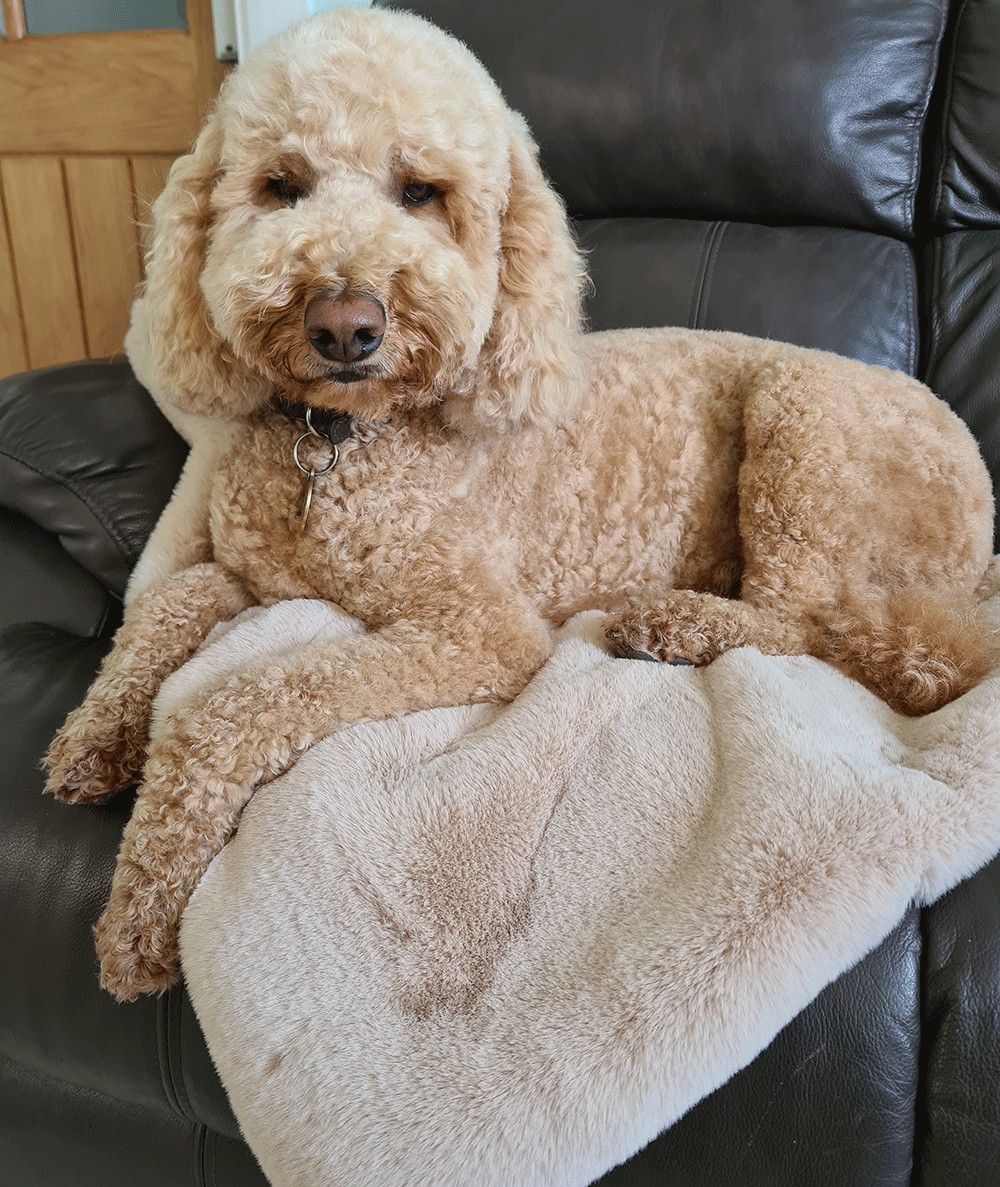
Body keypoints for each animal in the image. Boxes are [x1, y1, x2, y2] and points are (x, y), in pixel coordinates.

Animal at [44, 6, 997, 1001]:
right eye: (281, 187)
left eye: (421, 192)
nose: (344, 323)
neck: (341, 442)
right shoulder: (252, 577)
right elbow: (167, 605)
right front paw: (95, 732)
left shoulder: (479, 631)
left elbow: (229, 705)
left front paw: (138, 917)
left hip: (798, 416)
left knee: (809, 623)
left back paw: (677, 623)